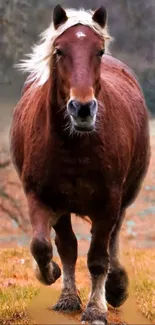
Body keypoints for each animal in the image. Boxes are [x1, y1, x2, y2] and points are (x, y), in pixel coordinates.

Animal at [10, 5, 150, 324]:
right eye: (59, 51)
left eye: (98, 51)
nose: (83, 109)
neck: (74, 146)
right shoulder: (41, 196)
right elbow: (45, 246)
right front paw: (51, 276)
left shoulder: (109, 201)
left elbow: (98, 257)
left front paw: (96, 309)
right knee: (68, 246)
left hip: (124, 197)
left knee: (113, 237)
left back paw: (116, 287)